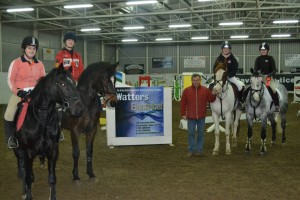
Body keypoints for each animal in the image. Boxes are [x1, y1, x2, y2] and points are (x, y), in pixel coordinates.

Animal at [12, 66, 83, 200]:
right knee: (23, 170)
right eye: (62, 83)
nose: (79, 109)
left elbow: (52, 178)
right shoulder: (28, 153)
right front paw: (28, 195)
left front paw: (53, 196)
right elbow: (29, 177)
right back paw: (24, 191)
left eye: (74, 83)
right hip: (19, 151)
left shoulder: (53, 151)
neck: (41, 120)